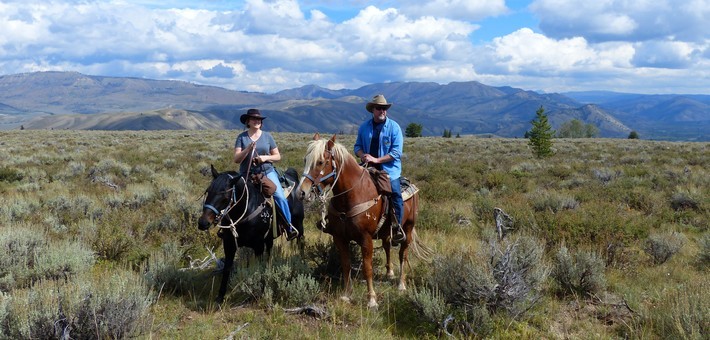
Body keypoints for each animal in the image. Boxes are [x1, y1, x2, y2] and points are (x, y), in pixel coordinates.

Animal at [197, 165, 306, 302]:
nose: (203, 223)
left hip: (299, 227)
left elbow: (259, 268)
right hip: (269, 238)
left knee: (301, 245)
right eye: (208, 191)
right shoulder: (229, 245)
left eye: (225, 198)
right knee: (269, 255)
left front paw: (261, 292)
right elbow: (227, 268)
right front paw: (220, 297)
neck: (247, 209)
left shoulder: (258, 246)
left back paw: (302, 265)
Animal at [298, 133, 432, 308]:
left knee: (403, 254)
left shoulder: (365, 239)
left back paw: (401, 284)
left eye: (320, 162)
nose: (301, 192)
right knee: (387, 246)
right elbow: (346, 265)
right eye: (305, 160)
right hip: (386, 231)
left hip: (408, 229)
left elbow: (367, 268)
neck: (352, 195)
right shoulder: (340, 238)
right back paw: (389, 272)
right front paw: (346, 294)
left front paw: (372, 300)